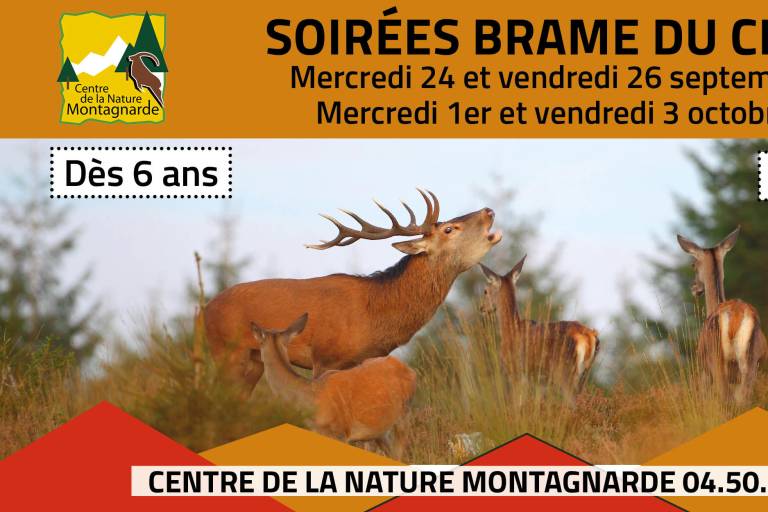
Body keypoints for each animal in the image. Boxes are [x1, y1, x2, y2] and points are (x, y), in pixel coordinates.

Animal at [204, 190, 502, 396]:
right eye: (450, 229)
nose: (488, 210)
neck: (374, 312)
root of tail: (205, 310)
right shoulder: (324, 357)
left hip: (254, 360)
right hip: (226, 352)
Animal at [479, 255, 599, 401]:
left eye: (485, 291)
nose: (481, 308)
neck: (511, 328)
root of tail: (588, 337)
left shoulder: (515, 371)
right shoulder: (537, 382)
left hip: (565, 371)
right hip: (585, 374)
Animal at [677, 227, 767, 404]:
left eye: (693, 265)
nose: (694, 287)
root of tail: (736, 316)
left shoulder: (704, 370)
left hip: (716, 358)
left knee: (726, 396)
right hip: (752, 362)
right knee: (744, 396)